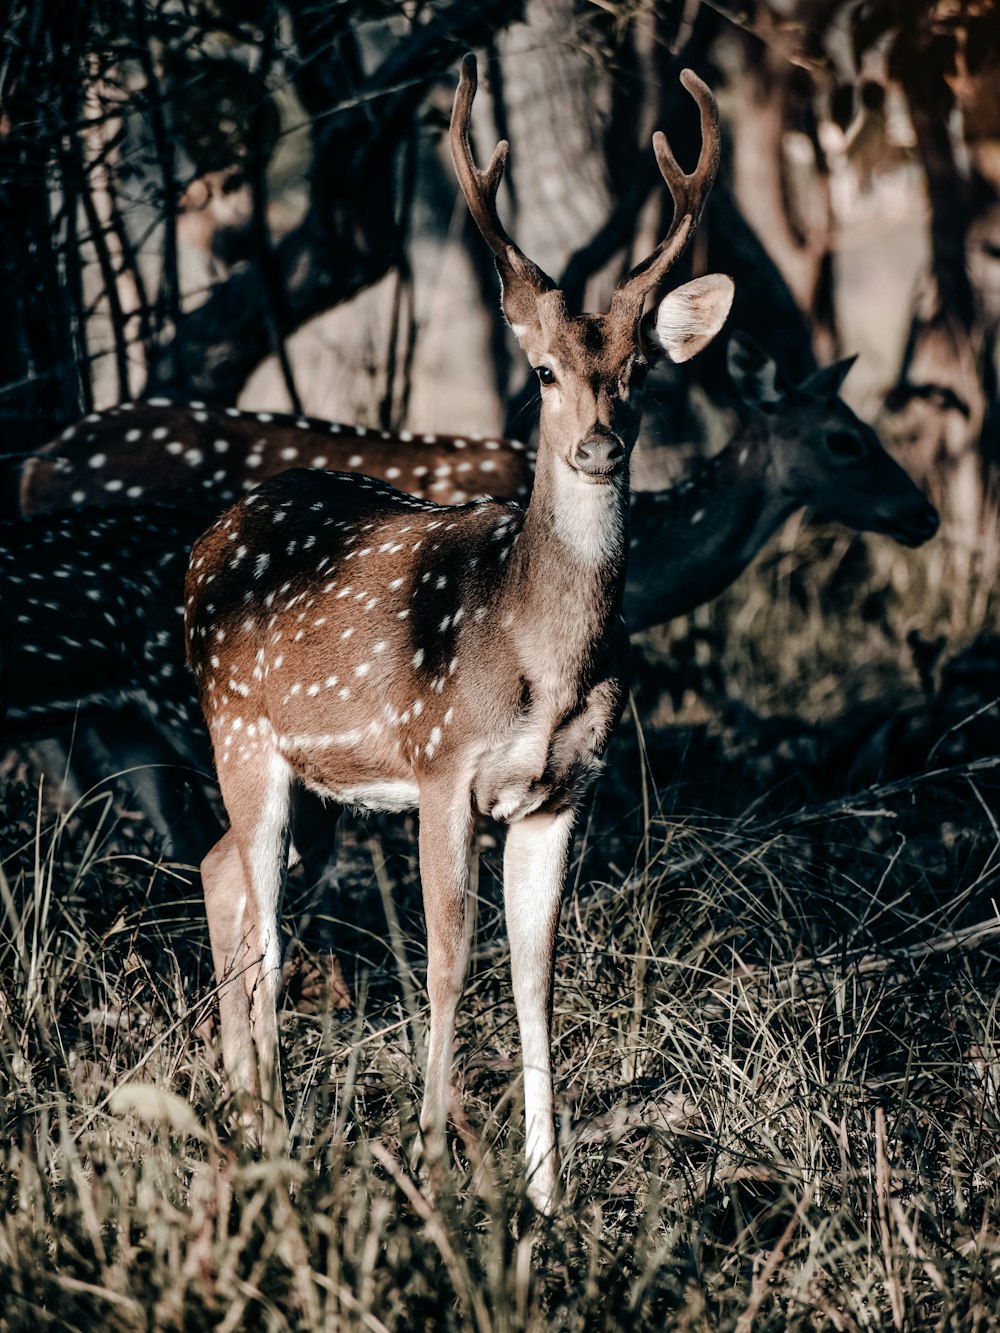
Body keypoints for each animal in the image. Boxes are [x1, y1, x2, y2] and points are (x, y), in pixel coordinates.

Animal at [186, 57, 736, 1210]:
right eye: (543, 371)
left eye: (641, 371)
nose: (598, 444)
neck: (539, 657)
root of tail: (200, 547)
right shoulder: (443, 768)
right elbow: (447, 957)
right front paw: (436, 1160)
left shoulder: (562, 792)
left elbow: (535, 975)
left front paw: (546, 1193)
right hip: (238, 727)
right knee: (260, 911)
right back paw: (267, 1123)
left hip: (318, 784)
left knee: (220, 874)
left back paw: (250, 1110)